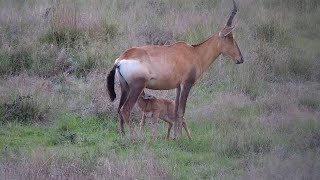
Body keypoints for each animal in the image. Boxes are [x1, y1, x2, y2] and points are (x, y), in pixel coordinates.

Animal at [107, 0, 242, 140]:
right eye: (230, 37)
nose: (240, 59)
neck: (194, 53)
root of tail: (121, 59)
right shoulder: (187, 84)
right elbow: (182, 110)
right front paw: (179, 138)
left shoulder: (177, 87)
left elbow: (176, 109)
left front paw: (175, 136)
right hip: (137, 87)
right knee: (125, 110)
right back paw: (134, 138)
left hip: (125, 87)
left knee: (119, 109)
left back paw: (123, 137)